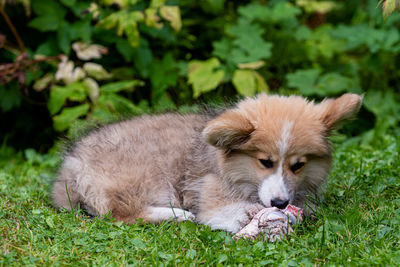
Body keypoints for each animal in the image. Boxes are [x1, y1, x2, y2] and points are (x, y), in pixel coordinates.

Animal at [51, 94, 360, 234]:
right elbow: (224, 212)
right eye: (265, 162)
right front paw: (251, 214)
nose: (280, 203)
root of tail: (71, 166)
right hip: (145, 179)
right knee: (119, 214)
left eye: (298, 166)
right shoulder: (210, 194)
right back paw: (177, 215)